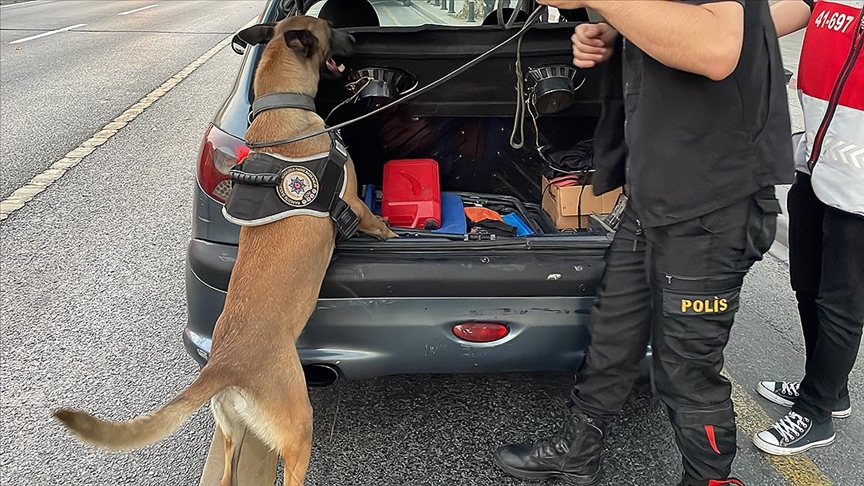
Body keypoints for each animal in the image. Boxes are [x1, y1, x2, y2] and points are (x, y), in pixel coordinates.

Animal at [50, 15, 394, 486]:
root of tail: (222, 367)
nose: (358, 35)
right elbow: (377, 222)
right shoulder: (355, 204)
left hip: (232, 435)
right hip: (298, 429)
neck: (278, 103)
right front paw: (394, 233)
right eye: (328, 27)